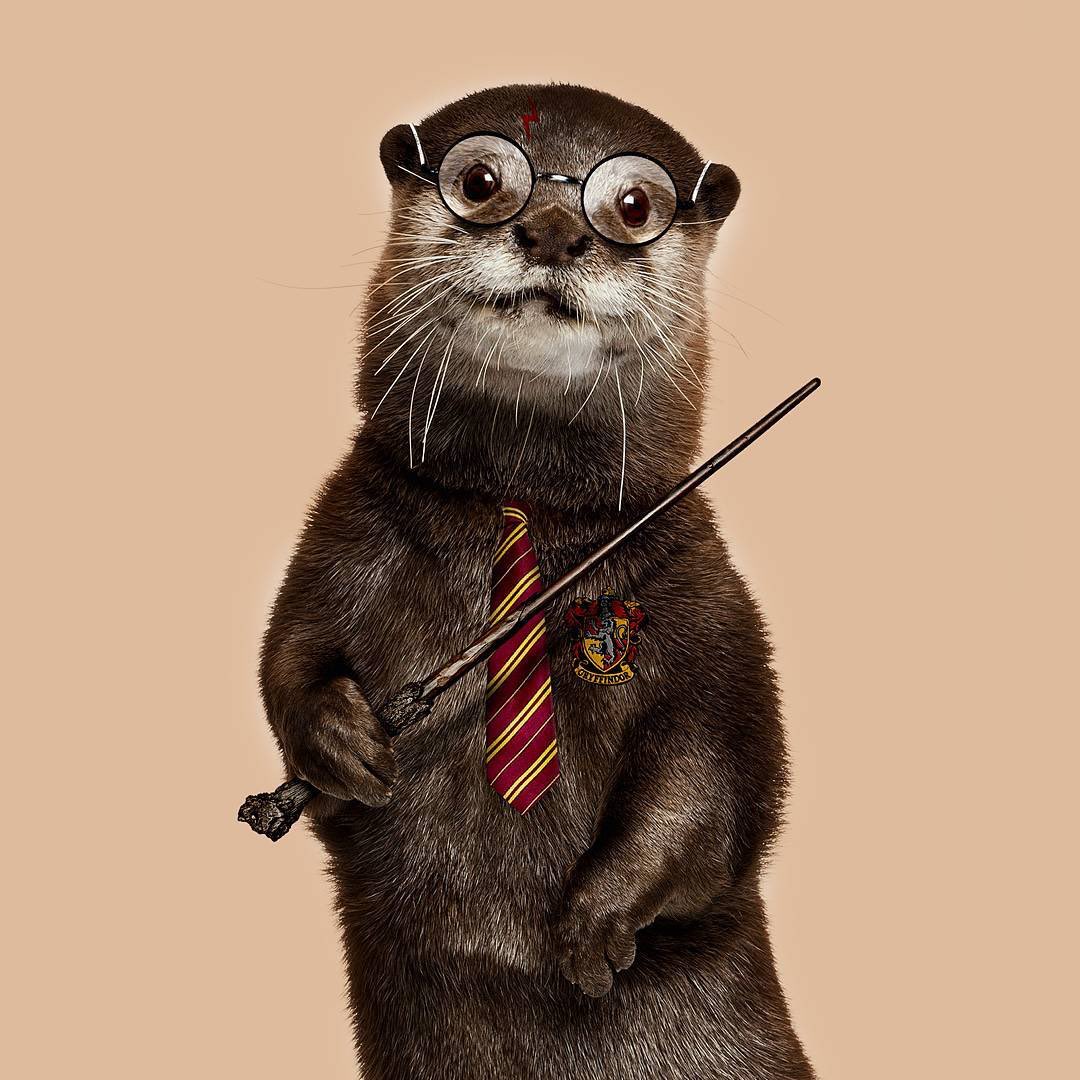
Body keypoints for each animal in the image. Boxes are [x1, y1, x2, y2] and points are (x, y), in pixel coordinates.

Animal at [260, 83, 815, 1079]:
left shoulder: (713, 606)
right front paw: (337, 740)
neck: (521, 501)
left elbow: (717, 774)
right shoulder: (337, 539)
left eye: (632, 204)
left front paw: (594, 921)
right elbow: (286, 653)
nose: (555, 232)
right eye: (482, 182)